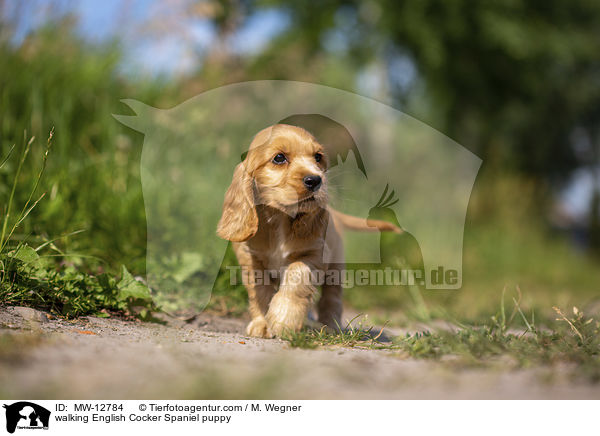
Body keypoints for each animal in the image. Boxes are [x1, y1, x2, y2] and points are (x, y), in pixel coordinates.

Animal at [218, 124, 400, 338]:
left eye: (318, 157)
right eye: (279, 158)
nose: (315, 180)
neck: (280, 220)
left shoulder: (313, 254)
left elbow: (296, 277)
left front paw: (283, 319)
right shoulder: (251, 259)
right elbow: (260, 292)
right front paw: (262, 323)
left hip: (336, 269)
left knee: (332, 298)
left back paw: (330, 326)